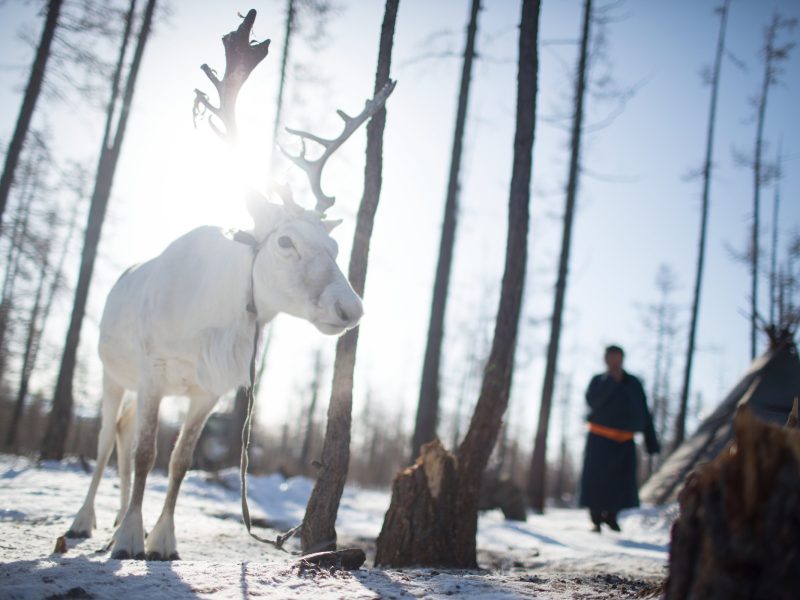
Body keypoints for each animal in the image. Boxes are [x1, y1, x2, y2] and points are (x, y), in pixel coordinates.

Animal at [64, 9, 395, 560]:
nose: (352, 309)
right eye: (284, 242)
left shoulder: (209, 390)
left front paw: (161, 540)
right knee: (108, 438)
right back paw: (85, 522)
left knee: (125, 436)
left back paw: (111, 521)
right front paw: (131, 539)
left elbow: (178, 460)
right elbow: (147, 451)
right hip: (113, 371)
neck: (213, 319)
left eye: (334, 246)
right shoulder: (153, 370)